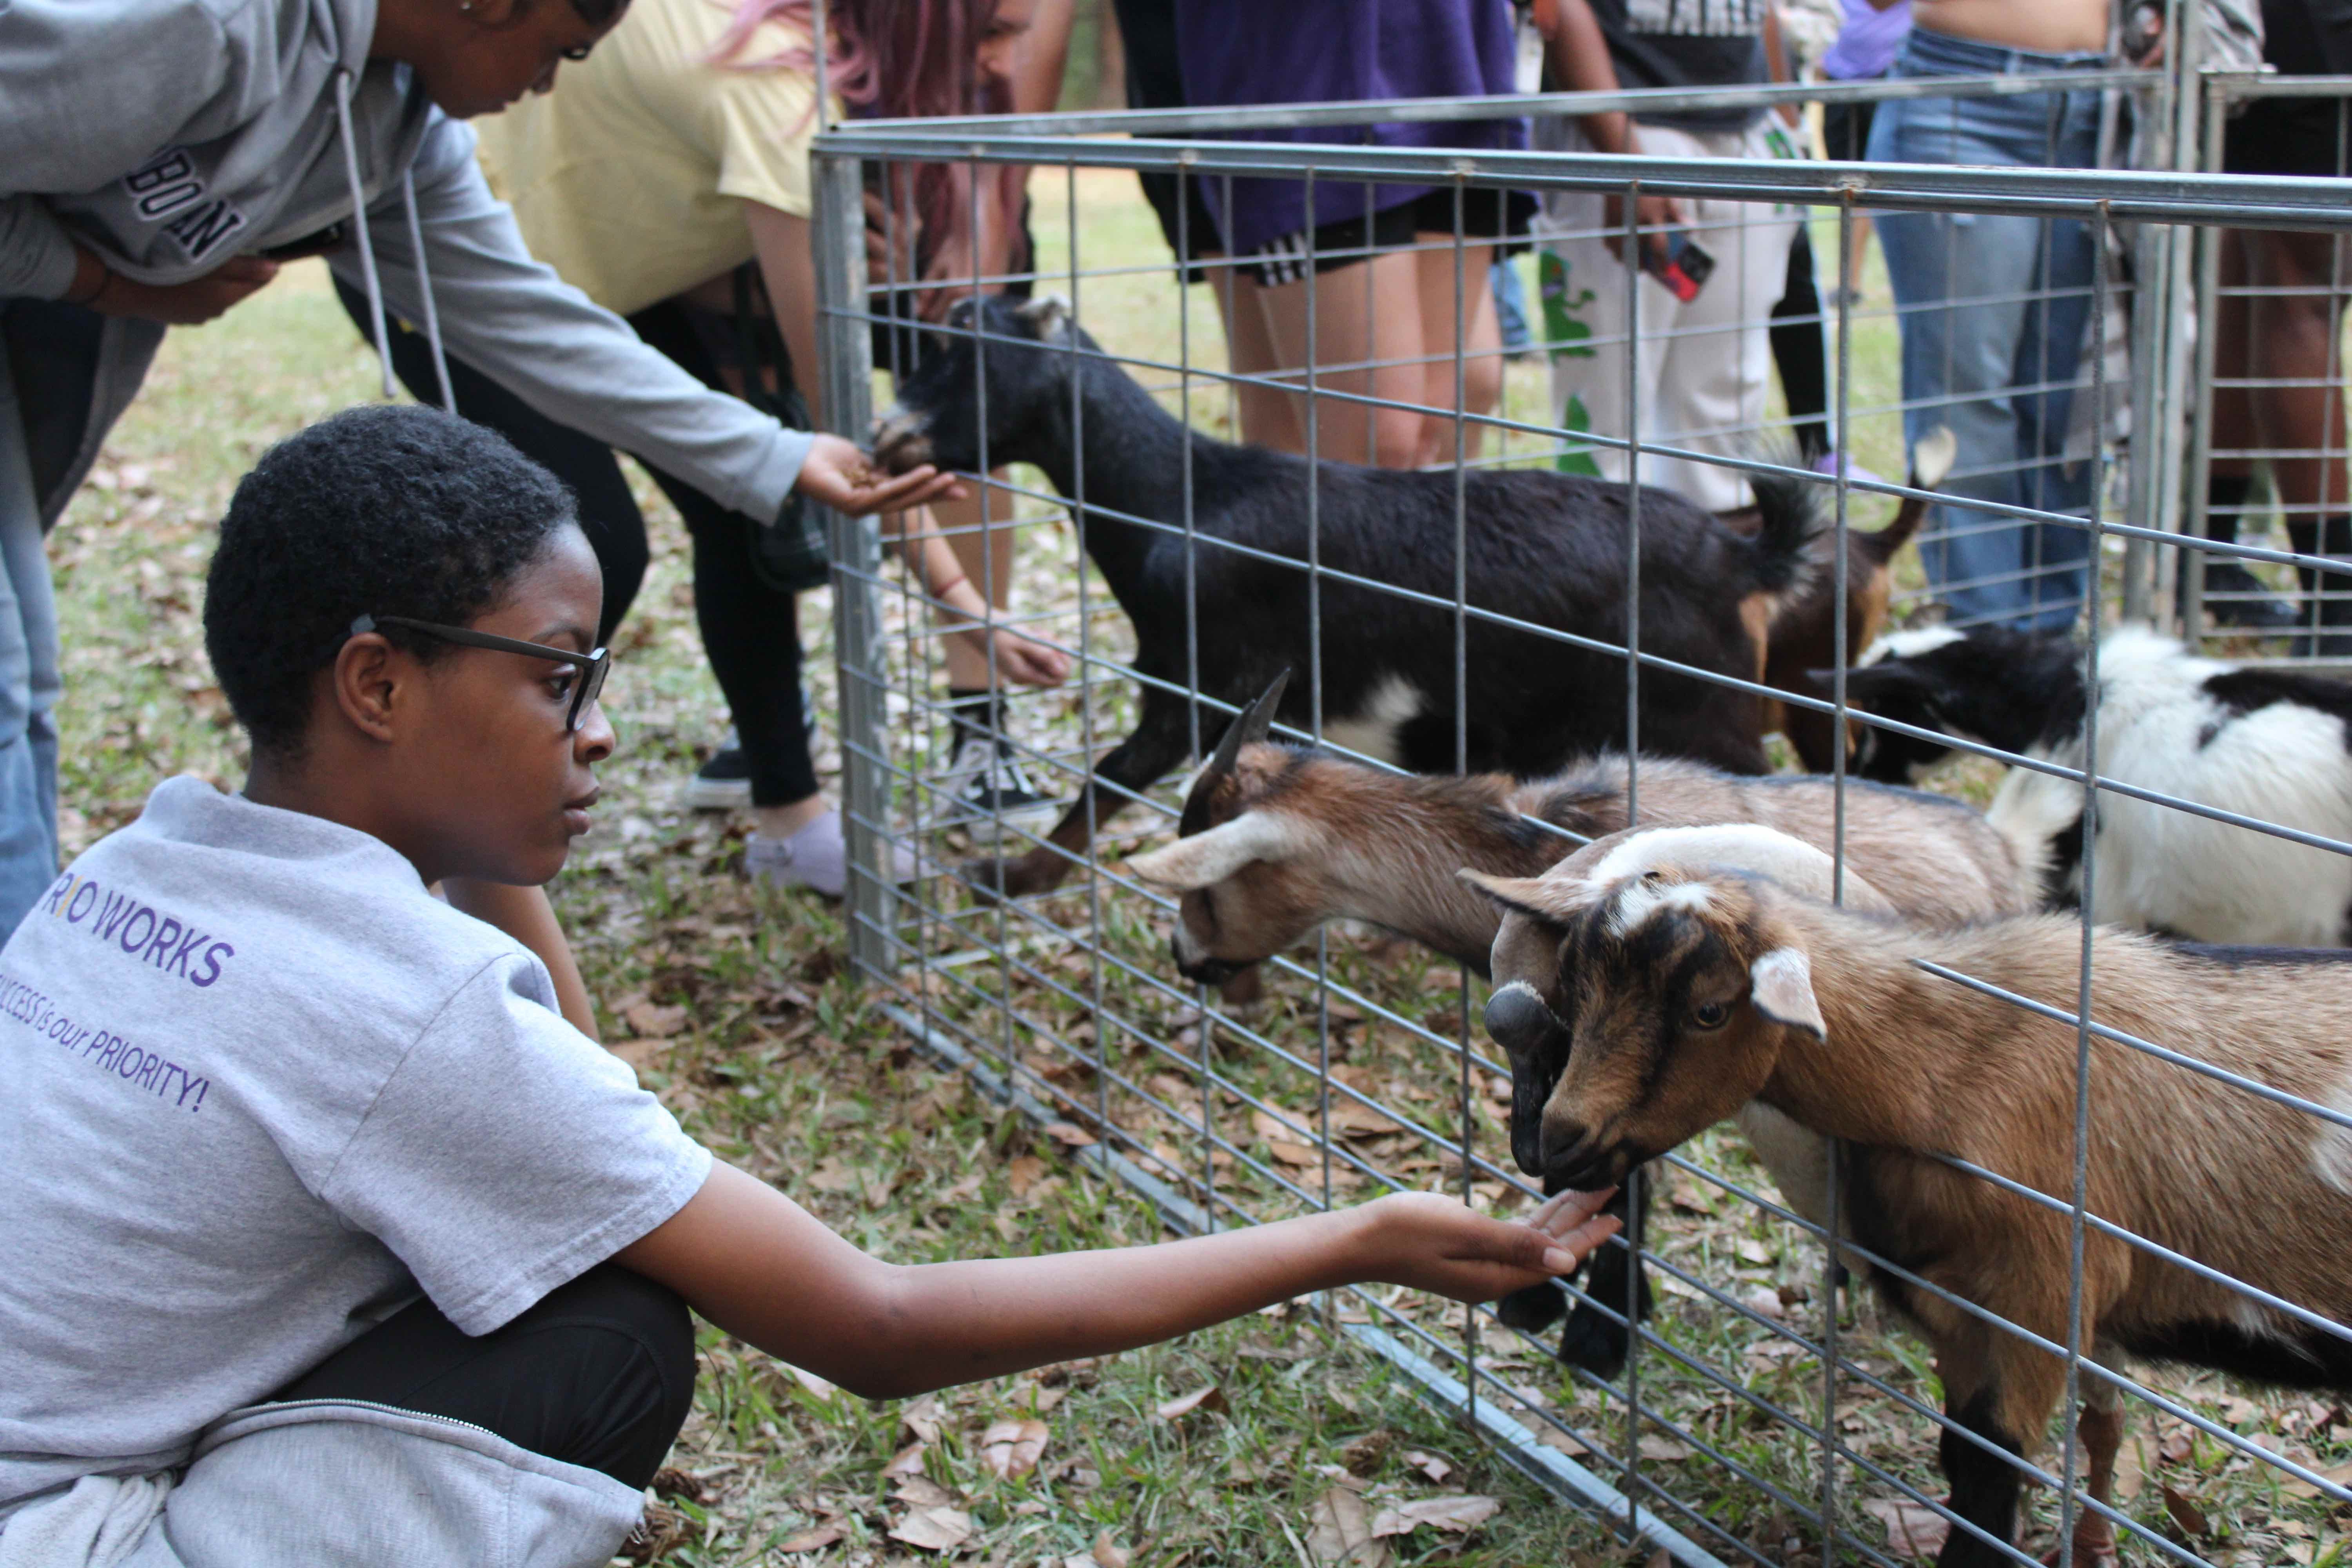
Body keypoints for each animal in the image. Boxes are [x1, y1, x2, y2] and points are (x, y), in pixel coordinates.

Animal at [874, 294, 1834, 899]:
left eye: (963, 346)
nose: (886, 435)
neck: (1182, 497)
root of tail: (1744, 556)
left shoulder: (1197, 681)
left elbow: (1106, 780)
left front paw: (1009, 880)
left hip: (1700, 711)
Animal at [1500, 829, 2352, 1567]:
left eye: (1709, 1010)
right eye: (1577, 985)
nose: (1556, 1142)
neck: (1950, 1064)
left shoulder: (2040, 1303)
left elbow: (1991, 1479)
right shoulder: (1967, 1311)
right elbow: (1974, 1450)